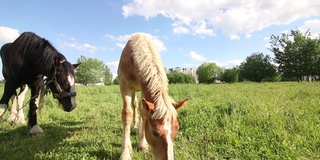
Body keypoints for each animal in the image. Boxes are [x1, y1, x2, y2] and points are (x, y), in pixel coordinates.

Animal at [117, 32, 188, 160]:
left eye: (177, 128)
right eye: (155, 132)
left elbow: (144, 113)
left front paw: (142, 144)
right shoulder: (125, 86)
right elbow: (127, 114)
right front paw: (125, 152)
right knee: (134, 104)